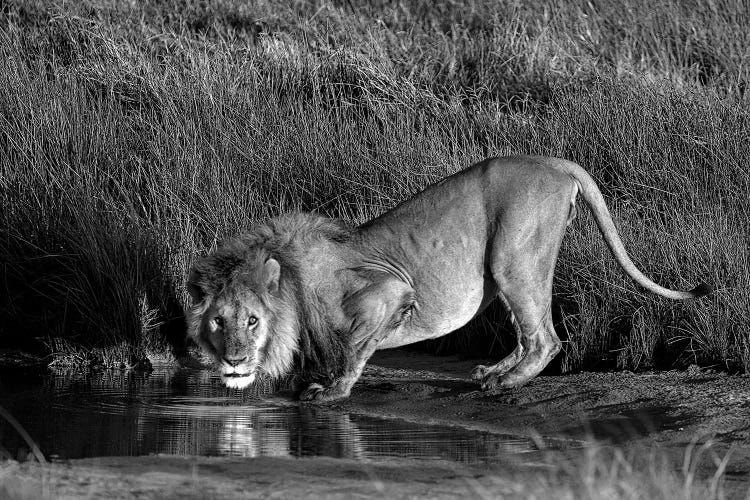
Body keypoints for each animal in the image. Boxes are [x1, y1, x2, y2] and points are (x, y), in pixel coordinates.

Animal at [187, 156, 712, 402]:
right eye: (218, 321)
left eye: (252, 320)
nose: (234, 359)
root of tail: (555, 162)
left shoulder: (390, 291)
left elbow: (354, 348)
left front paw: (331, 392)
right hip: (504, 270)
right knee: (527, 332)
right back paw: (493, 371)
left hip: (512, 254)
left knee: (545, 338)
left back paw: (504, 383)